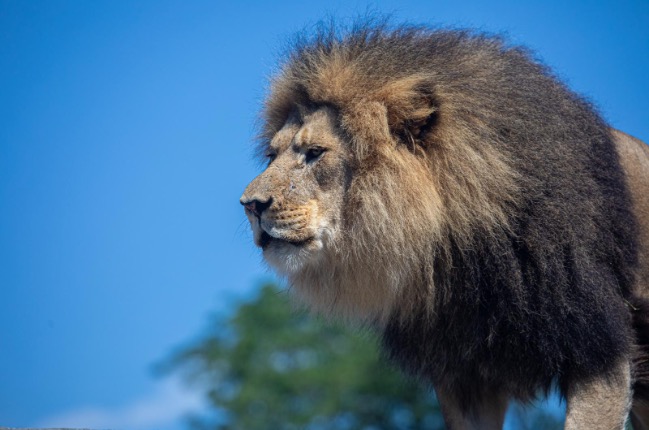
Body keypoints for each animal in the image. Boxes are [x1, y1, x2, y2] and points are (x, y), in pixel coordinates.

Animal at [239, 24, 648, 430]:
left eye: (315, 153)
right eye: (272, 156)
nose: (250, 205)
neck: (464, 251)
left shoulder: (600, 350)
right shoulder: (463, 377)